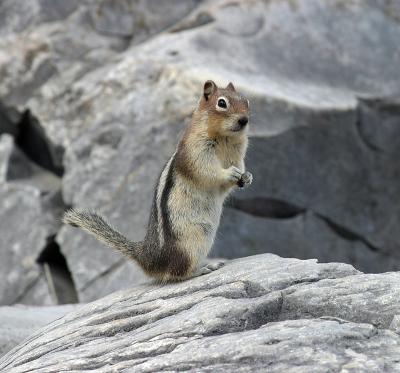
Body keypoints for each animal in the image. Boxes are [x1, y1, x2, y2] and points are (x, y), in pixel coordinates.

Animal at [64, 80, 255, 280]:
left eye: (246, 101)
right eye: (222, 103)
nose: (244, 120)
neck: (226, 138)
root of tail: (149, 258)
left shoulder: (237, 156)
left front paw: (247, 177)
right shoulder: (196, 153)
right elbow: (207, 172)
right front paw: (229, 174)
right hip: (190, 244)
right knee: (178, 273)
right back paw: (204, 268)